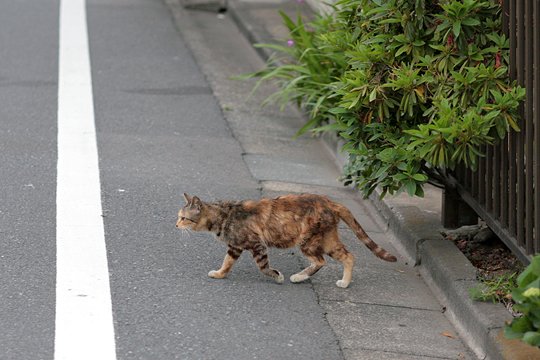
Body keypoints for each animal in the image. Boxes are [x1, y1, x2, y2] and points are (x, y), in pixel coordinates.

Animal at [177, 193, 396, 288]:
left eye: (184, 218)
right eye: (178, 216)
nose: (176, 225)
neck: (223, 216)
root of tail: (330, 201)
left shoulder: (256, 244)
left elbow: (263, 267)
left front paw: (277, 276)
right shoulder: (235, 247)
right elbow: (227, 263)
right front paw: (220, 274)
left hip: (308, 241)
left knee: (320, 261)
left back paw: (299, 277)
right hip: (327, 239)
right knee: (348, 256)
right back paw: (344, 282)